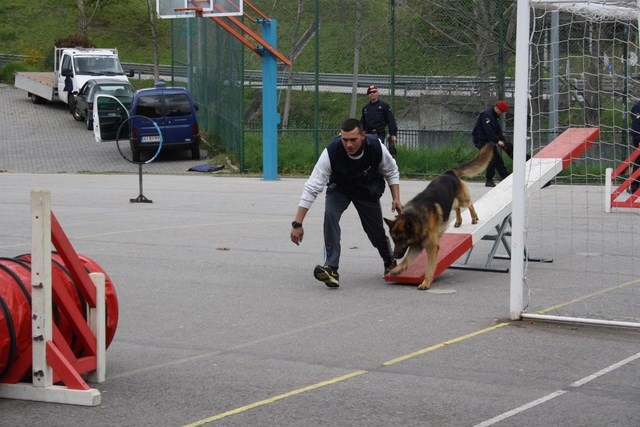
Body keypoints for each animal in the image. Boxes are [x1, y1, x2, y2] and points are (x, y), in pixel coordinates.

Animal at [384, 144, 496, 290]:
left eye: (402, 239)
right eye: (394, 240)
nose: (394, 255)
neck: (417, 217)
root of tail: (448, 173)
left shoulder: (431, 247)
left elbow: (429, 267)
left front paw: (426, 282)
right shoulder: (416, 246)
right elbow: (407, 259)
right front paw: (397, 269)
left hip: (462, 199)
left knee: (469, 203)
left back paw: (474, 217)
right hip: (450, 203)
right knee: (457, 208)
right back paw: (458, 221)